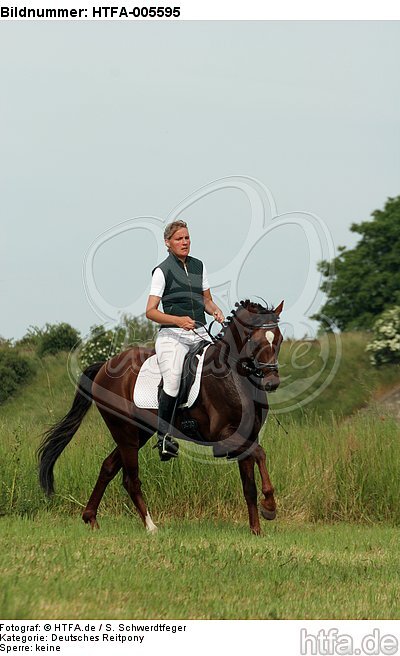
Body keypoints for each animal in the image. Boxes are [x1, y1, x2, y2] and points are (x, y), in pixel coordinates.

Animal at [38, 299, 284, 535]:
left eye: (279, 340)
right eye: (255, 341)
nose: (272, 383)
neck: (233, 373)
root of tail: (104, 366)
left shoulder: (248, 435)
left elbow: (249, 486)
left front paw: (256, 529)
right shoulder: (226, 435)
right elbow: (260, 454)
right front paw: (270, 506)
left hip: (139, 433)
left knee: (108, 467)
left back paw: (91, 519)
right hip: (126, 433)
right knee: (131, 479)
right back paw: (151, 527)